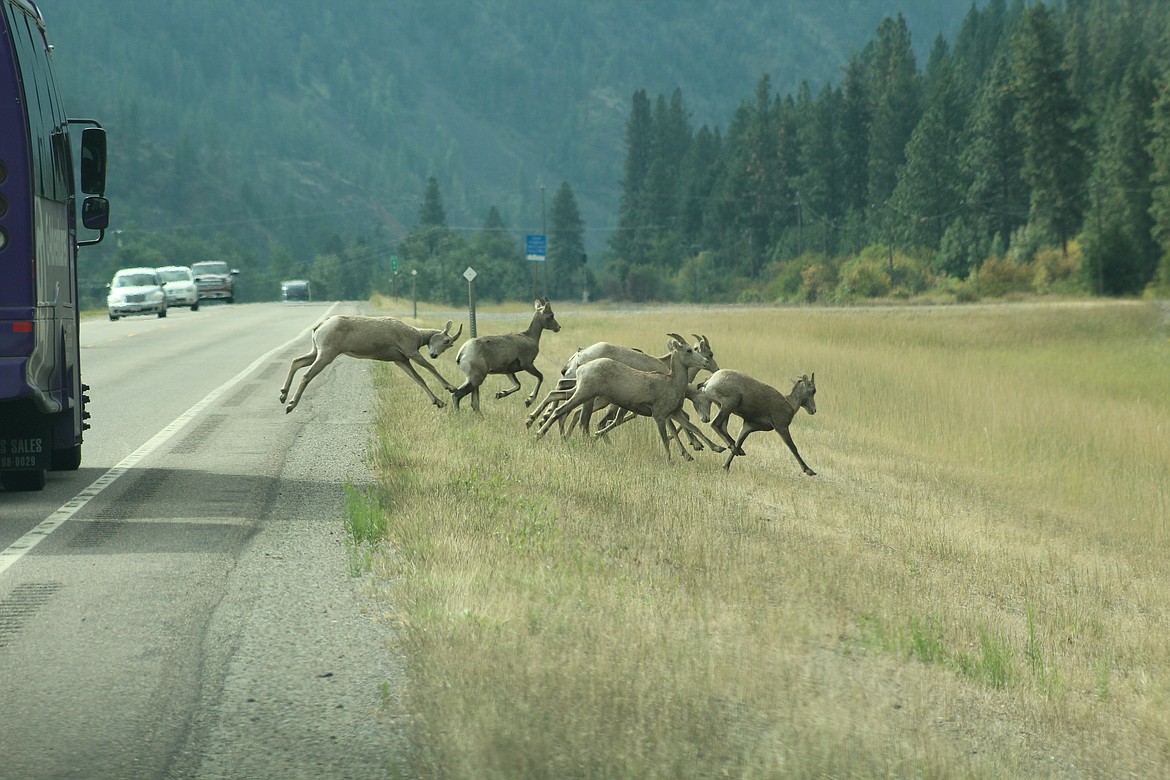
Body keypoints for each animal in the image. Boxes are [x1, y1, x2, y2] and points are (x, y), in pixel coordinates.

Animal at [280, 313, 463, 413]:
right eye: (447, 341)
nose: (434, 354)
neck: (416, 335)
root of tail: (320, 326)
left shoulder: (401, 360)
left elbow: (419, 379)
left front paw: (439, 402)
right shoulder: (411, 352)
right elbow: (429, 368)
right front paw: (451, 388)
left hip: (316, 352)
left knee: (296, 362)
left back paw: (283, 396)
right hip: (326, 354)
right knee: (306, 375)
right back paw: (290, 405)